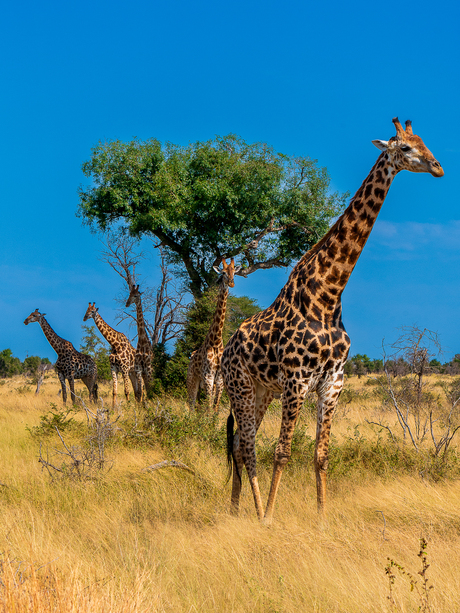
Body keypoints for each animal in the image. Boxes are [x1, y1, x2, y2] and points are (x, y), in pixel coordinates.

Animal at [186, 256, 241, 412]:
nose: (231, 283)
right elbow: (209, 407)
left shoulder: (220, 379)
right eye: (223, 272)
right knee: (191, 405)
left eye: (234, 271)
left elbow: (215, 407)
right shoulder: (208, 377)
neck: (215, 341)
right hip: (192, 381)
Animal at [221, 117, 444, 520]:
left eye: (424, 141)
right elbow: (282, 453)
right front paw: (271, 519)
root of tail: (226, 350)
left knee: (239, 446)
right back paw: (257, 513)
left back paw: (235, 509)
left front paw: (322, 519)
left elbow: (321, 456)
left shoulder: (332, 383)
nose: (438, 167)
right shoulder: (297, 381)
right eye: (405, 147)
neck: (328, 294)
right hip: (240, 387)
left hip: (262, 390)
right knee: (247, 447)